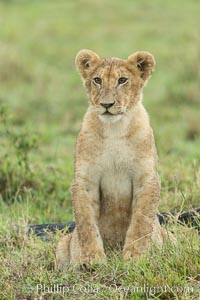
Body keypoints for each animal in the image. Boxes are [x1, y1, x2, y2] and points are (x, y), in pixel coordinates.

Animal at [56, 49, 170, 270]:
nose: (106, 105)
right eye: (97, 80)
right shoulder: (85, 180)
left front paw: (134, 258)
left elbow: (141, 222)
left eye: (122, 80)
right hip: (62, 244)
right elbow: (86, 223)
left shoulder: (147, 179)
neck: (115, 128)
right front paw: (92, 259)